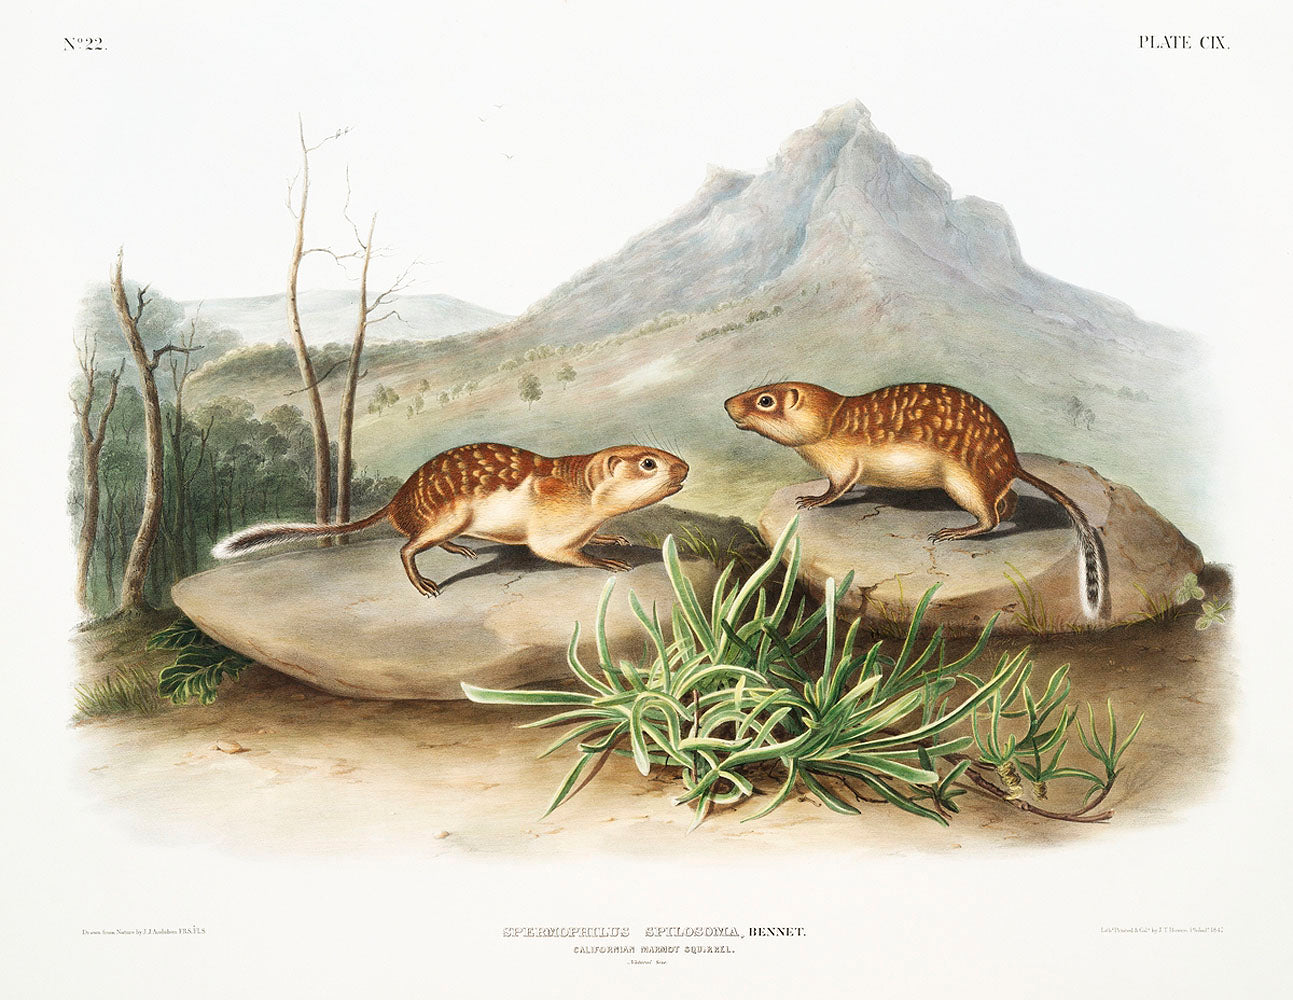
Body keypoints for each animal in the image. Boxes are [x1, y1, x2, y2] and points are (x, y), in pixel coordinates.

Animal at [212, 443, 689, 598]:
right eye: (648, 463)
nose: (685, 468)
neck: (579, 482)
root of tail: (397, 502)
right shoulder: (554, 534)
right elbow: (559, 552)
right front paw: (606, 561)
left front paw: (613, 539)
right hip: (450, 515)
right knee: (407, 548)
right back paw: (423, 583)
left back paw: (460, 549)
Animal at [724, 381, 1109, 619]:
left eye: (765, 400)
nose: (726, 403)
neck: (834, 416)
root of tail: (1011, 461)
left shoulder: (844, 466)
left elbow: (837, 489)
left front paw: (813, 499)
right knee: (1009, 500)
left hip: (965, 485)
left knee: (991, 519)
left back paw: (955, 532)